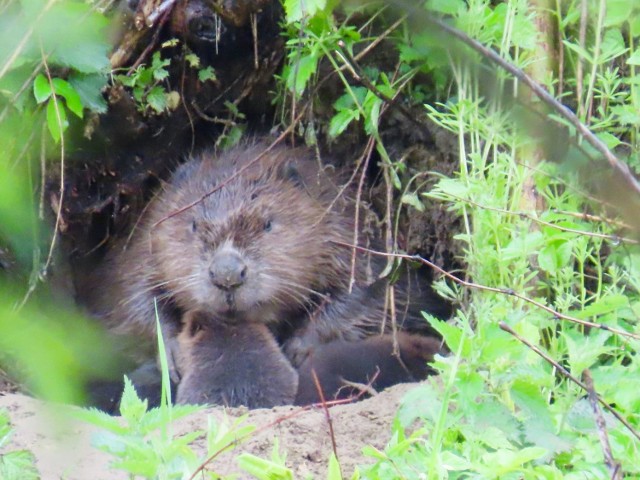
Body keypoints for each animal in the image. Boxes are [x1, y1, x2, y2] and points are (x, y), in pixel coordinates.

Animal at [82, 141, 448, 380]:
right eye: (194, 224)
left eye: (268, 223)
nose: (227, 275)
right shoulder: (142, 243)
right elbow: (132, 298)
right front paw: (172, 351)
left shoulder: (352, 235)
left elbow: (366, 293)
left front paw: (298, 347)